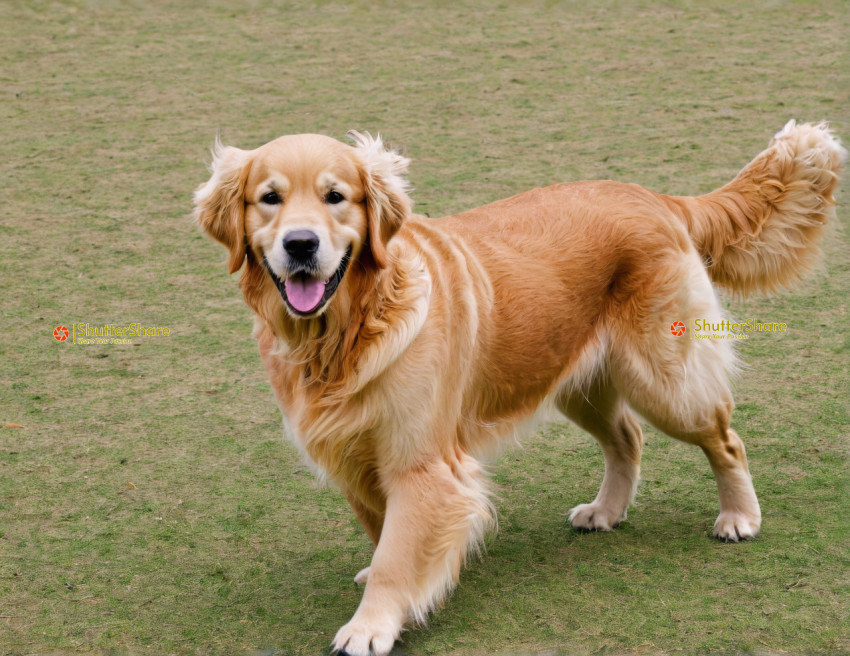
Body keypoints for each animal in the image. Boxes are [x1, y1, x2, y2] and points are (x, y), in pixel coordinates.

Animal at [194, 120, 840, 652]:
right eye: (269, 199)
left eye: (336, 197)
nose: (300, 244)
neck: (347, 332)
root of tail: (658, 198)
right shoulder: (354, 453)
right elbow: (384, 534)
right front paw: (385, 584)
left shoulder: (422, 463)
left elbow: (399, 553)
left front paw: (372, 625)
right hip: (575, 380)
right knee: (627, 439)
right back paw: (607, 510)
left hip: (664, 380)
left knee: (725, 439)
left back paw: (740, 517)